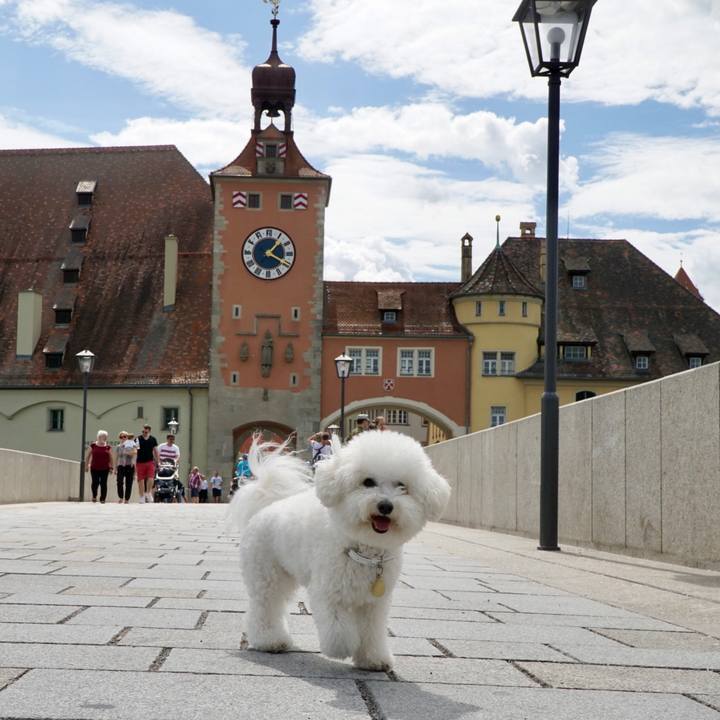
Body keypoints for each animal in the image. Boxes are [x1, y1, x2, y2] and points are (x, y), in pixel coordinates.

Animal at [226, 430, 451, 671]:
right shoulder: (328, 590)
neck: (362, 549)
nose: (385, 506)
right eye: (368, 482)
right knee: (264, 606)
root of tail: (266, 506)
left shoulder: (374, 603)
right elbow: (339, 629)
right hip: (266, 573)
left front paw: (373, 659)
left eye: (402, 485)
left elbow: (372, 632)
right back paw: (269, 640)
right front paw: (343, 648)